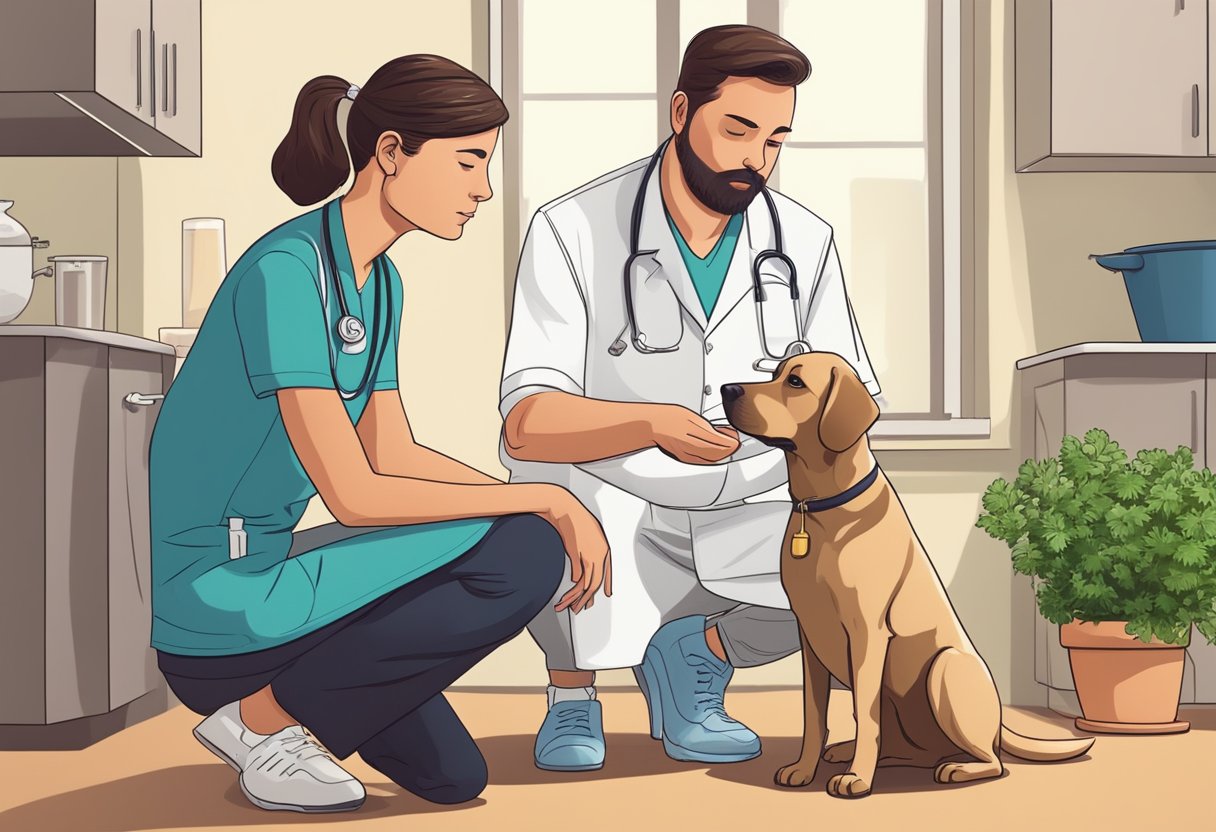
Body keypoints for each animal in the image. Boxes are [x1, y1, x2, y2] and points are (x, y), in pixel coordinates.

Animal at [715, 350, 1099, 797]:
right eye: (774, 374)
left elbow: (865, 715)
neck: (822, 508)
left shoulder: (867, 634)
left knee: (992, 761)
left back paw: (955, 767)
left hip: (945, 669)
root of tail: (1001, 723)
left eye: (795, 382)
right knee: (904, 748)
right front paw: (804, 768)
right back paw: (848, 752)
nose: (727, 389)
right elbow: (814, 716)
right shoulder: (809, 637)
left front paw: (858, 780)